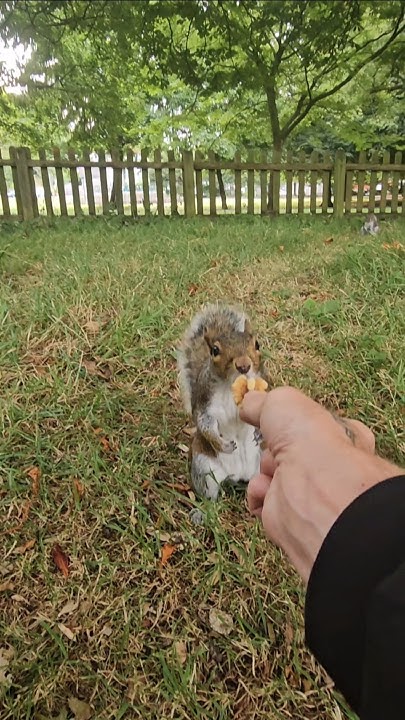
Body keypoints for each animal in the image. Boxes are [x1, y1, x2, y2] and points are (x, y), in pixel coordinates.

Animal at [177, 304, 268, 500]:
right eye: (215, 350)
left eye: (257, 344)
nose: (243, 365)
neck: (231, 385)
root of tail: (240, 474)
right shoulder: (205, 403)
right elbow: (205, 423)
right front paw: (224, 445)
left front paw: (260, 432)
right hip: (204, 466)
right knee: (209, 492)